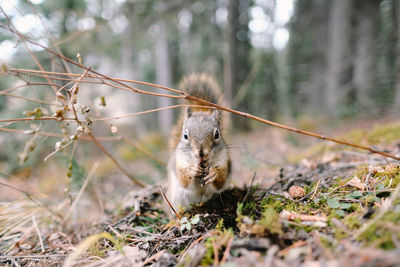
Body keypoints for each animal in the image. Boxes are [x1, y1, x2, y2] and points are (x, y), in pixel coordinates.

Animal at [166, 73, 231, 214]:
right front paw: (193, 169)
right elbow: (183, 179)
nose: (201, 153)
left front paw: (213, 172)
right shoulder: (179, 162)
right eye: (185, 135)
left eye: (217, 134)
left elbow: (221, 179)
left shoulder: (225, 161)